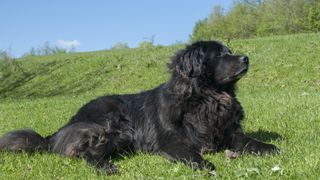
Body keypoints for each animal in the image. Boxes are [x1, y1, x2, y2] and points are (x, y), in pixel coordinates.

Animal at [0, 40, 278, 173]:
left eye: (230, 50)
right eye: (219, 55)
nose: (246, 58)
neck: (206, 99)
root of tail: (64, 127)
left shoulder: (228, 132)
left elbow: (248, 141)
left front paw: (269, 148)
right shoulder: (171, 142)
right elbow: (191, 154)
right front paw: (206, 165)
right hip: (116, 125)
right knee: (87, 152)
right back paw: (107, 168)